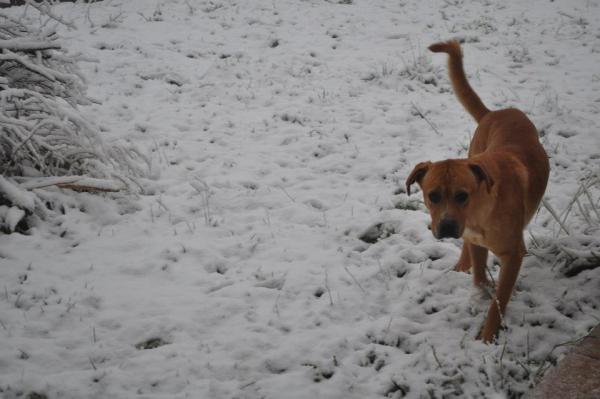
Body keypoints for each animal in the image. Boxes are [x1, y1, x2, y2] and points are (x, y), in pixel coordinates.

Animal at [408, 41, 548, 344]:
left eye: (463, 195)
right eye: (432, 196)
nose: (447, 226)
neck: (480, 213)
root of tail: (494, 112)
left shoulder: (514, 255)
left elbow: (498, 302)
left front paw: (487, 337)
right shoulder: (476, 240)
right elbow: (480, 279)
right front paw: (478, 295)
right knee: (469, 250)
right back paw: (462, 264)